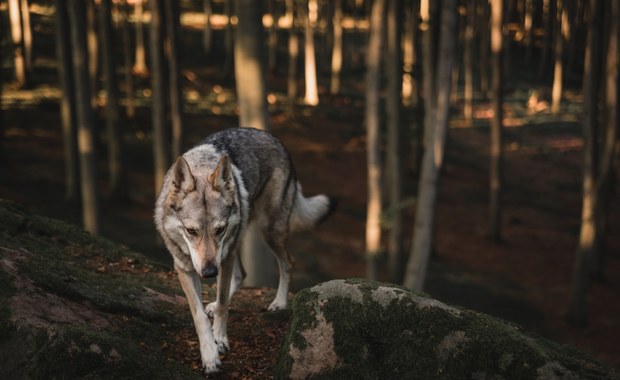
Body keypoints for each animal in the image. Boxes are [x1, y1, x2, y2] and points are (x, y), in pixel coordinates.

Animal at [154, 128, 332, 374]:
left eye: (219, 229)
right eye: (191, 231)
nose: (210, 273)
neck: (201, 165)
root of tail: (273, 138)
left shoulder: (223, 256)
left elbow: (223, 305)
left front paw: (220, 340)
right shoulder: (185, 268)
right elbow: (199, 314)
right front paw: (209, 354)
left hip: (267, 232)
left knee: (288, 263)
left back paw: (279, 303)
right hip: (238, 243)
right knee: (241, 274)